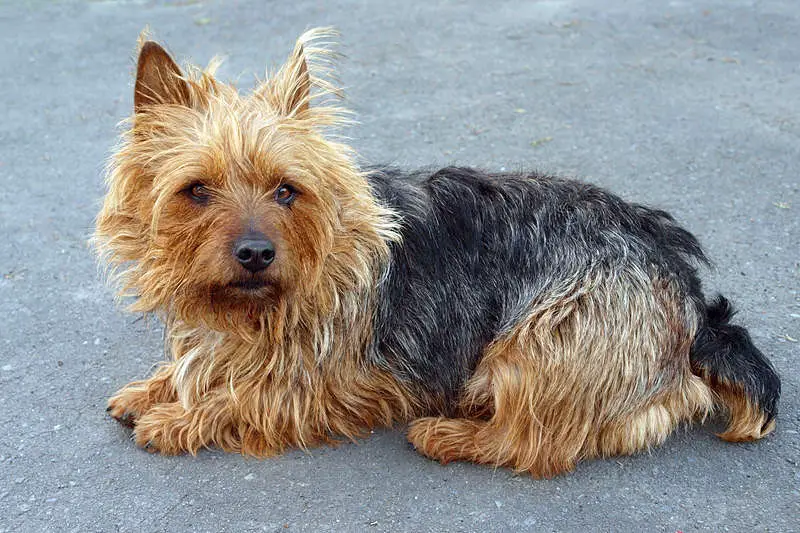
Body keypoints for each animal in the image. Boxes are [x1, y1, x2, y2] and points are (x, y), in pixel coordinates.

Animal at [92, 28, 776, 478]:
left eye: (286, 189)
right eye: (196, 190)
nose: (256, 253)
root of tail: (686, 288)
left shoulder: (346, 381)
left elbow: (251, 395)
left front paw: (179, 418)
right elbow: (201, 364)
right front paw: (157, 386)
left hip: (545, 341)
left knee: (536, 443)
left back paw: (451, 433)